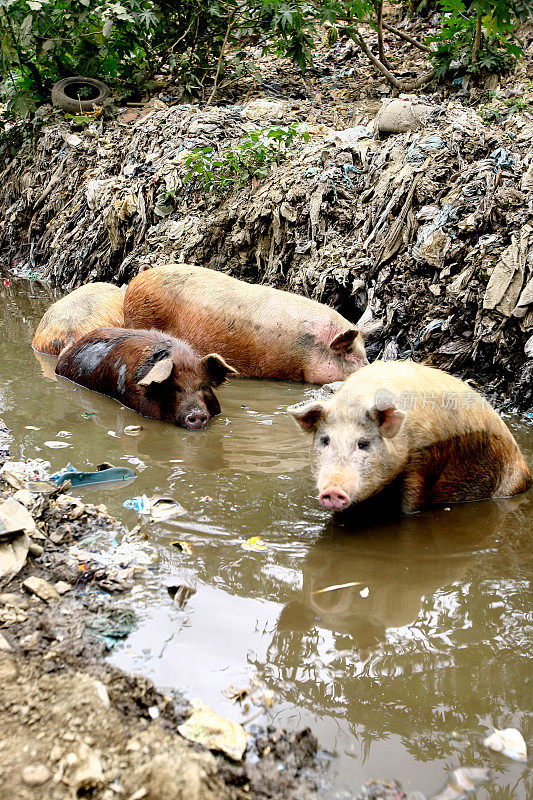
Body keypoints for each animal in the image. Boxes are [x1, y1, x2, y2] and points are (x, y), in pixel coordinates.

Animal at [288, 360, 528, 512]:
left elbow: (411, 504)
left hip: (511, 482)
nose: (333, 490)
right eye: (325, 440)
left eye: (363, 444)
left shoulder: (422, 460)